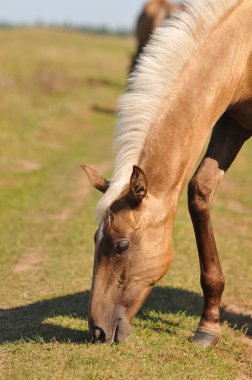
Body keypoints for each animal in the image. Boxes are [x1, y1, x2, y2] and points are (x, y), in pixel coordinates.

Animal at [82, 0, 250, 348]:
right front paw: (208, 328)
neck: (244, 52)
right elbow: (200, 190)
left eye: (121, 245)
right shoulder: (235, 122)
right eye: (95, 239)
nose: (97, 330)